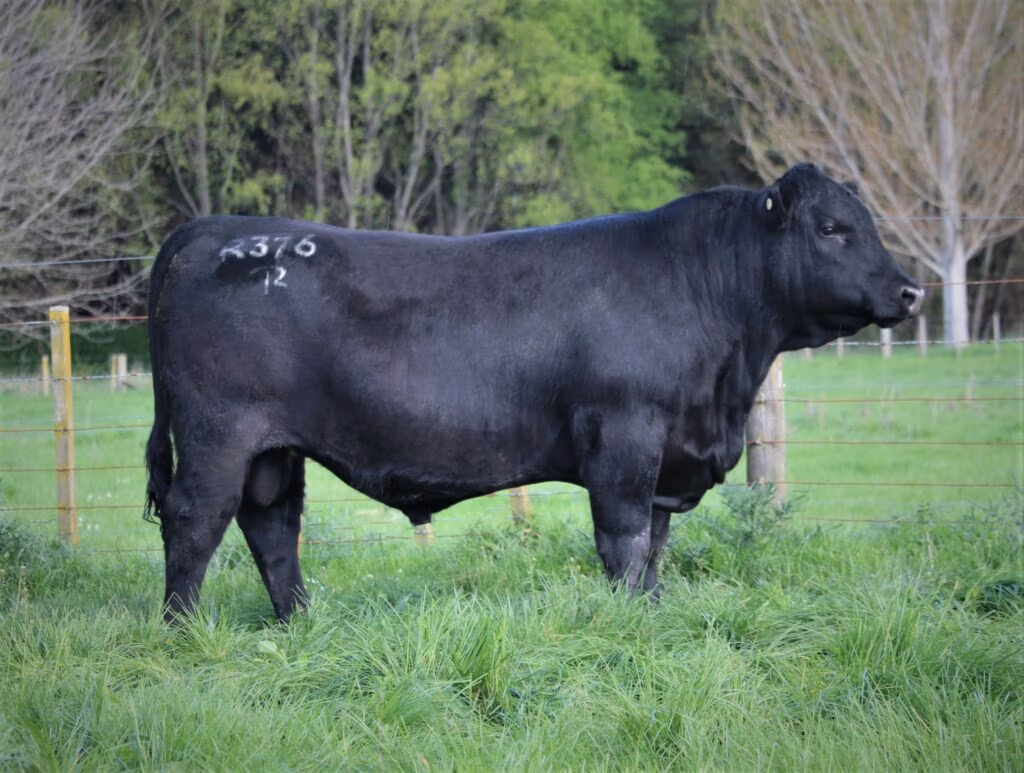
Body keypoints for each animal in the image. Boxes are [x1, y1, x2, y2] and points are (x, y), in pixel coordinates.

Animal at [144, 163, 923, 622]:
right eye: (832, 227)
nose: (910, 290)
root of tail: (218, 228)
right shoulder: (625, 435)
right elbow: (624, 539)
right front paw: (627, 621)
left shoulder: (668, 452)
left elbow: (657, 544)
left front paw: (654, 613)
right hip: (219, 434)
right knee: (195, 521)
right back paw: (182, 628)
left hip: (273, 450)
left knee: (272, 527)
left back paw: (299, 621)